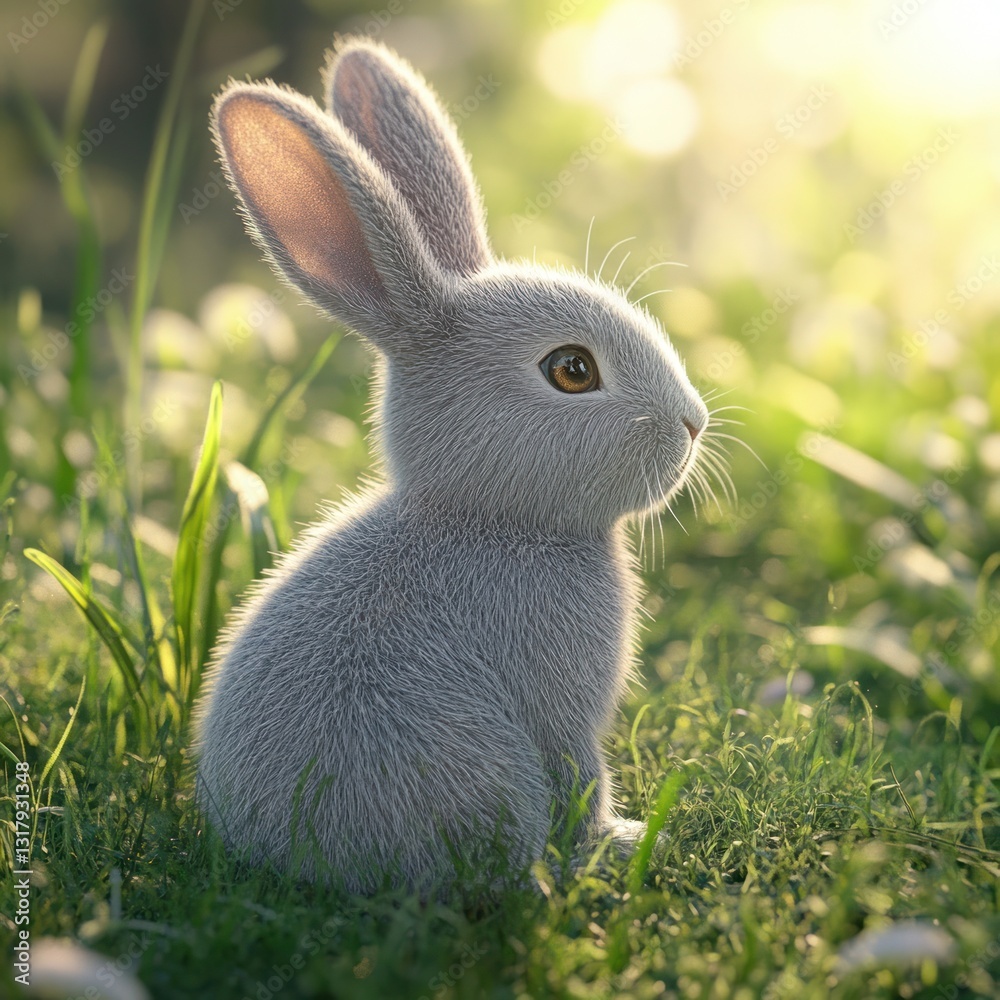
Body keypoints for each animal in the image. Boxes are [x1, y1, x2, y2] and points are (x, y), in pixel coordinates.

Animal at [193, 35, 709, 895]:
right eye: (572, 370)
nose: (695, 423)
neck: (487, 519)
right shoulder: (561, 710)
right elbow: (584, 777)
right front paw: (624, 841)